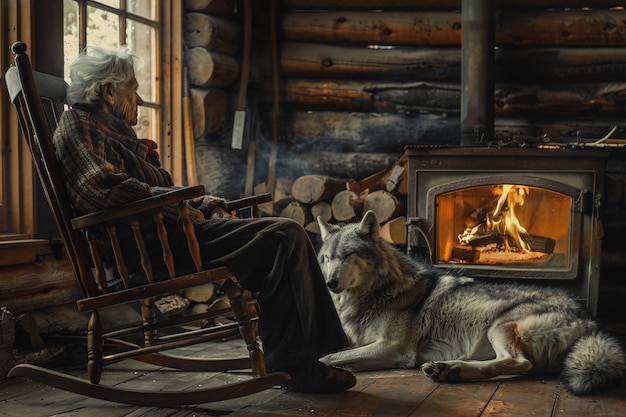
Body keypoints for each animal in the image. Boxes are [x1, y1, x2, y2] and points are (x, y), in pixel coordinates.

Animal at [316, 210, 624, 394]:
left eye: (349, 256)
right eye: (327, 259)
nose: (330, 284)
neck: (378, 292)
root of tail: (590, 319)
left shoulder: (393, 348)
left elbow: (328, 357)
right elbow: (334, 351)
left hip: (500, 326)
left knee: (519, 363)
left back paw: (452, 370)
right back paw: (447, 369)